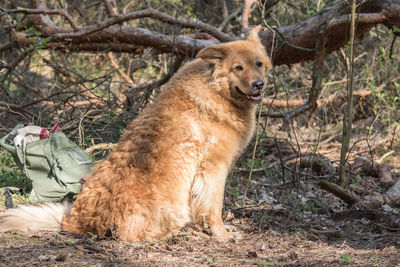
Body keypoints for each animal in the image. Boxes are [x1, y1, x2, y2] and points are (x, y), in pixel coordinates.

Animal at [0, 26, 272, 243]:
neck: (217, 90)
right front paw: (222, 234)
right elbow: (213, 207)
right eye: (238, 68)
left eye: (259, 63)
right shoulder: (214, 169)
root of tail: (76, 221)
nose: (259, 85)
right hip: (170, 208)